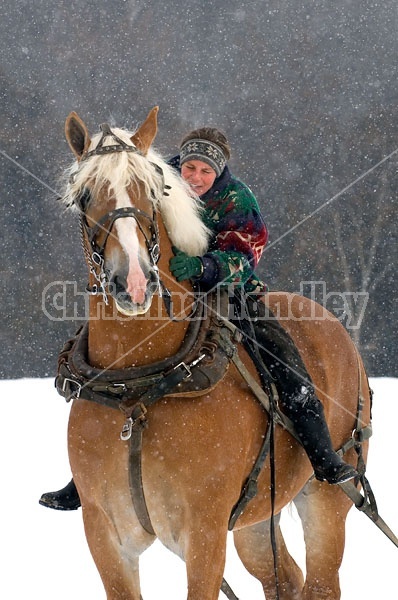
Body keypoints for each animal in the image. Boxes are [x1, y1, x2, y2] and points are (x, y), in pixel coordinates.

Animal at [63, 108, 372, 600]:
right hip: (256, 519)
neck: (140, 388)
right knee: (285, 578)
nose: (133, 282)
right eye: (86, 194)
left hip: (325, 501)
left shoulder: (204, 533)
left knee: (322, 581)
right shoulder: (105, 533)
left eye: (152, 190)